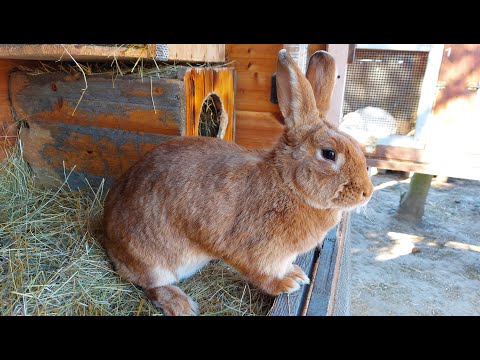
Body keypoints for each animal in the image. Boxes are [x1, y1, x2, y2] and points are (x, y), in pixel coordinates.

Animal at [102, 50, 376, 316]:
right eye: (329, 154)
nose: (367, 193)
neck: (287, 184)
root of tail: (108, 237)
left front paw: (296, 274)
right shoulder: (251, 251)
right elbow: (260, 274)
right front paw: (286, 283)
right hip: (154, 262)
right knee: (150, 285)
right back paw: (181, 305)